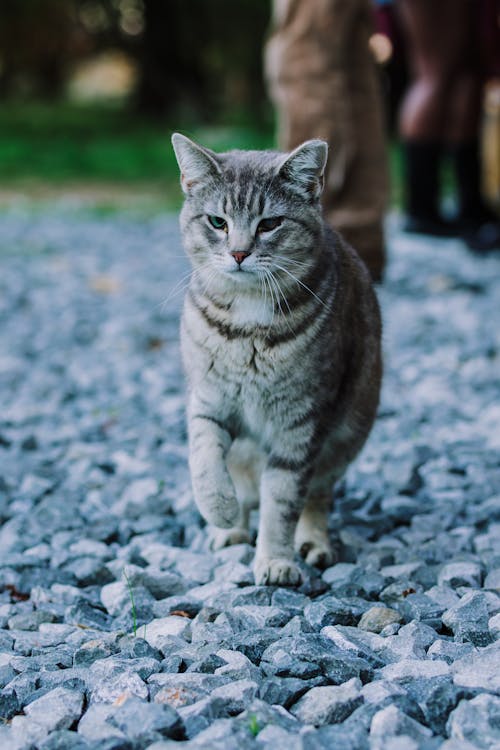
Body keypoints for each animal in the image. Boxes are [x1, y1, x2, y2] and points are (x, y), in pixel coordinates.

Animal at [172, 134, 382, 588]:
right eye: (217, 222)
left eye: (269, 224)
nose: (238, 253)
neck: (247, 322)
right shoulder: (209, 401)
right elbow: (204, 460)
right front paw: (220, 509)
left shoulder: (300, 424)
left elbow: (283, 501)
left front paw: (275, 559)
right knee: (243, 486)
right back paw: (230, 528)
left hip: (343, 441)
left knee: (315, 498)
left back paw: (313, 543)